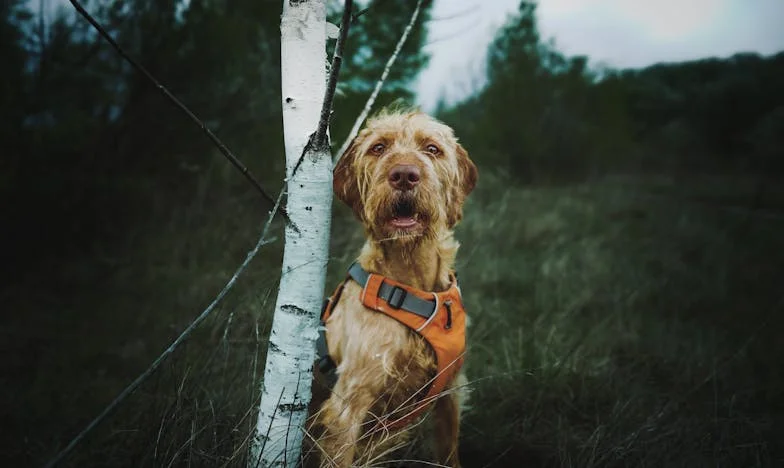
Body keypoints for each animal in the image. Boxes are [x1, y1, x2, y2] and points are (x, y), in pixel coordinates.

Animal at [306, 108, 478, 466]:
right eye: (378, 148)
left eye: (432, 149)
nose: (404, 175)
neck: (412, 286)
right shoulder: (348, 406)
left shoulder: (450, 393)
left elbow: (449, 453)